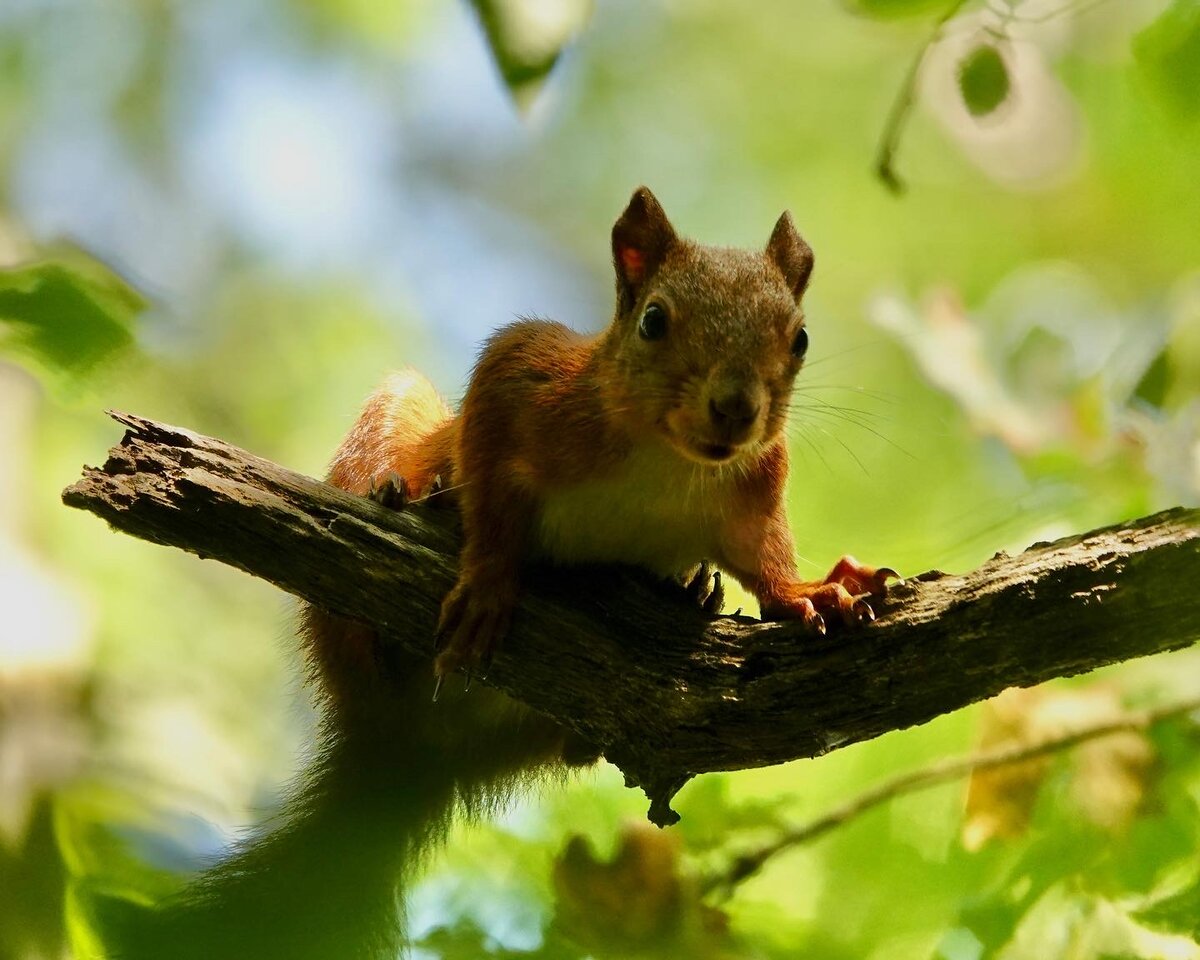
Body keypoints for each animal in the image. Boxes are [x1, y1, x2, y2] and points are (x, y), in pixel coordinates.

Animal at [100, 189, 892, 960]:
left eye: (800, 338)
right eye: (654, 320)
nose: (735, 408)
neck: (666, 460)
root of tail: (406, 752)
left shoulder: (753, 489)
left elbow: (766, 558)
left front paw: (810, 592)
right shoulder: (528, 379)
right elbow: (488, 482)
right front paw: (484, 583)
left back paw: (681, 605)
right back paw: (396, 500)